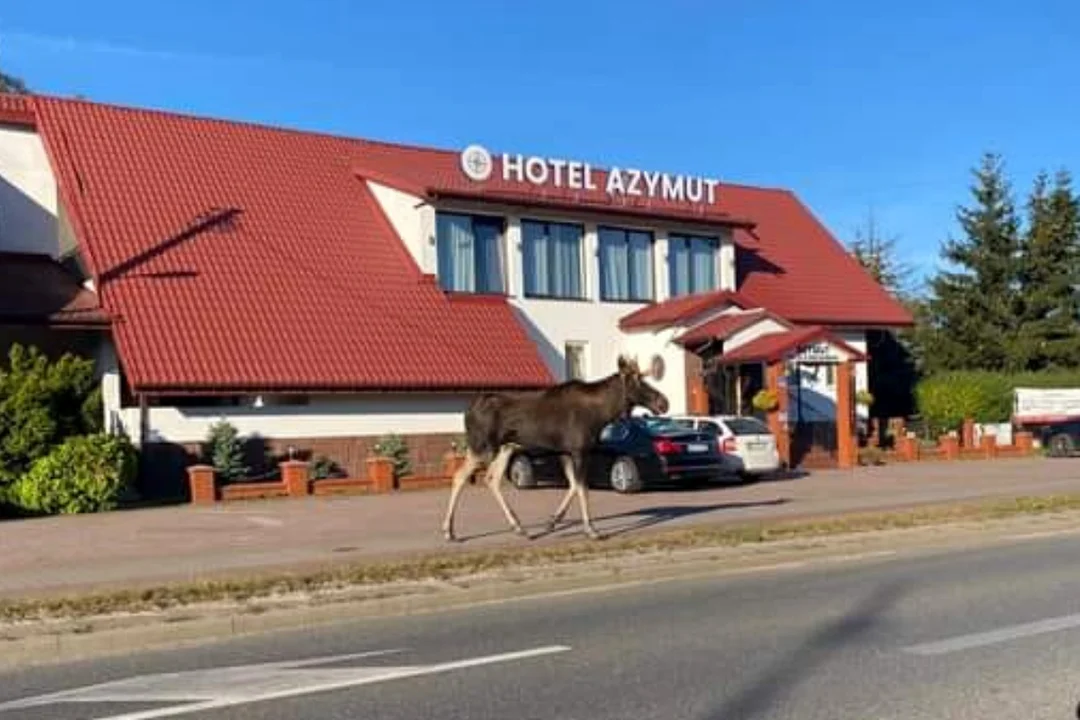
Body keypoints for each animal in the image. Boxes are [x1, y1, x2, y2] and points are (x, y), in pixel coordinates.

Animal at [438, 354, 665, 539]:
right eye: (637, 381)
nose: (663, 402)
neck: (602, 413)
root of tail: (467, 411)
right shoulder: (580, 450)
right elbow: (582, 488)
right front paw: (591, 529)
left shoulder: (565, 451)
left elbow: (573, 485)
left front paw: (552, 521)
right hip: (482, 446)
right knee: (459, 476)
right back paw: (448, 530)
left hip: (506, 447)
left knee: (491, 479)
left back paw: (518, 527)